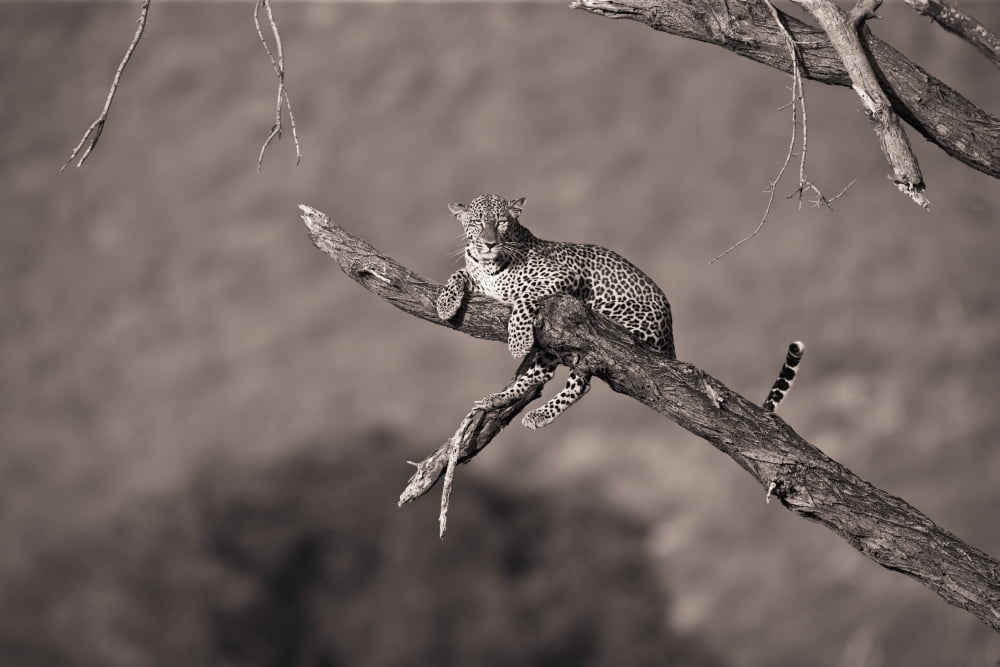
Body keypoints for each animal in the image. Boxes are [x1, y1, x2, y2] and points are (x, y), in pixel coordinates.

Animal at [436, 193, 801, 429]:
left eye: (501, 222)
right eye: (476, 223)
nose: (489, 243)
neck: (491, 266)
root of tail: (670, 340)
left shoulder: (563, 275)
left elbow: (525, 296)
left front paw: (517, 340)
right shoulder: (480, 278)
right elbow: (457, 275)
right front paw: (445, 304)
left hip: (601, 320)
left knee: (580, 381)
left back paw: (538, 412)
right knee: (540, 374)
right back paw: (498, 399)